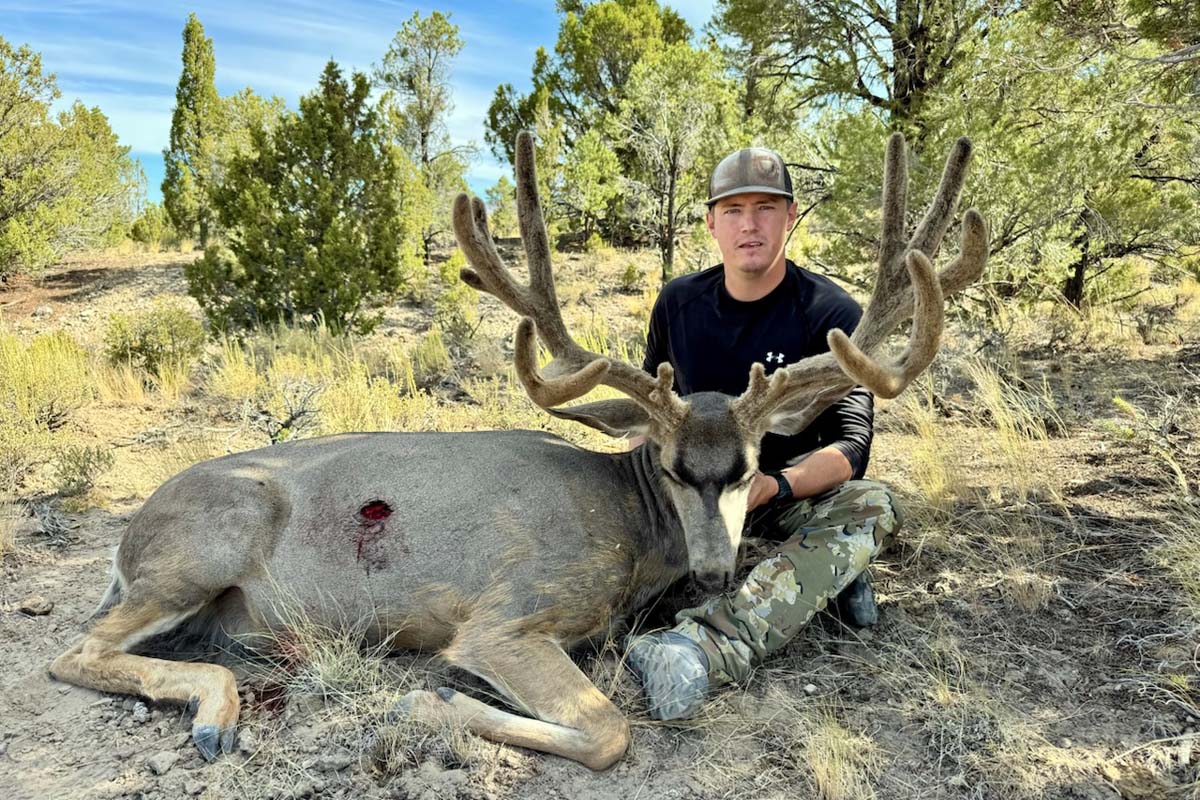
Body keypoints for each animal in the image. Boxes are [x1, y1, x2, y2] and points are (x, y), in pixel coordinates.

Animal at [48, 131, 987, 770]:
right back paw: (217, 716)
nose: (717, 572)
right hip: (202, 547)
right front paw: (423, 707)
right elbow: (606, 729)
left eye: (753, 468)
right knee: (74, 651)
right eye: (672, 468)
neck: (626, 528)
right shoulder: (505, 616)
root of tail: (126, 535)